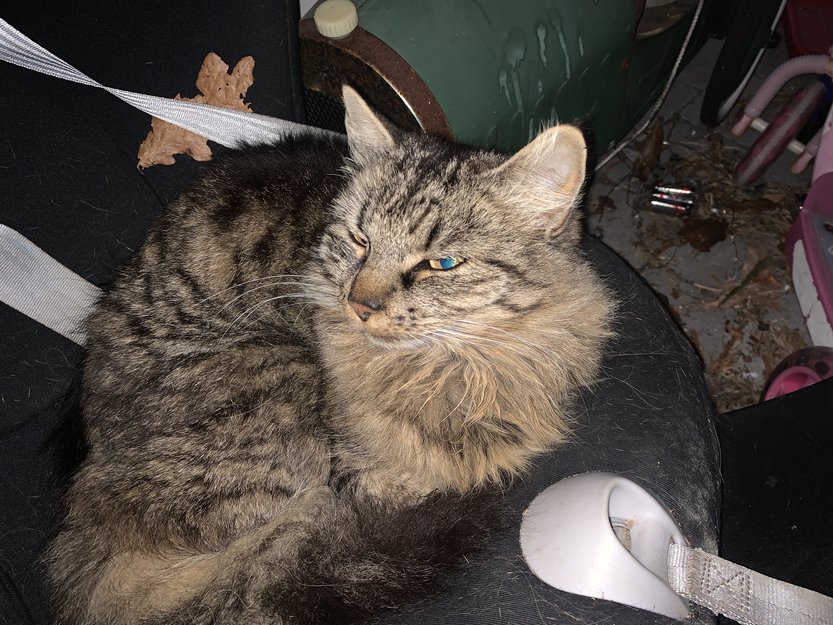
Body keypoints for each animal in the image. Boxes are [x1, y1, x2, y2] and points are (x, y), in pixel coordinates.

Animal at [48, 86, 614, 625]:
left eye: (441, 264)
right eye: (360, 240)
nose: (360, 305)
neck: (456, 372)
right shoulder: (365, 475)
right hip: (279, 383)